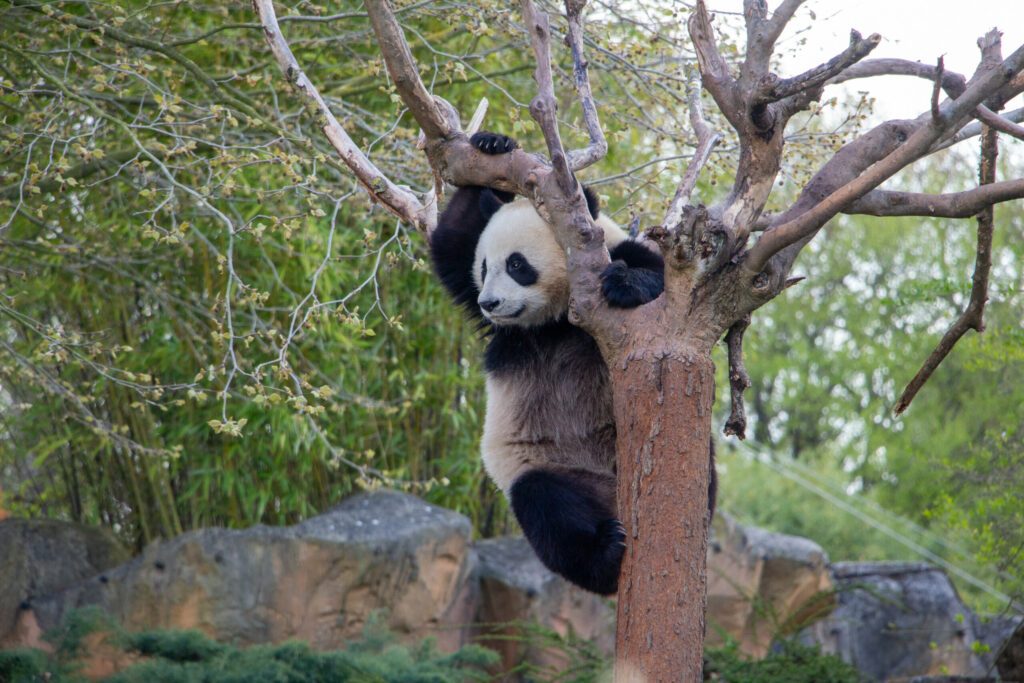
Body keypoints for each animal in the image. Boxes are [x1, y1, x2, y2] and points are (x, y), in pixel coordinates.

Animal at [428, 131, 716, 593]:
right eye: (485, 267)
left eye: (517, 264)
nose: (489, 303)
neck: (557, 319)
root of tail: (612, 497)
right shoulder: (485, 309)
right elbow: (451, 241)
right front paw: (492, 144)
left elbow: (666, 288)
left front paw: (624, 282)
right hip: (549, 465)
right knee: (546, 509)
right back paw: (606, 555)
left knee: (704, 473)